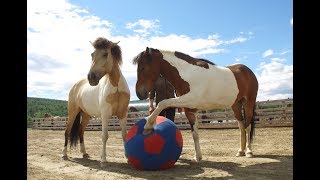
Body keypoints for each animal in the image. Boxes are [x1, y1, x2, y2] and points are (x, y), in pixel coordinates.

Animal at [62, 37, 130, 167]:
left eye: (105, 54)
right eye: (92, 54)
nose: (91, 78)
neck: (116, 88)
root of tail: (76, 86)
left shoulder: (123, 114)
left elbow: (124, 135)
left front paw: (128, 158)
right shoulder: (105, 115)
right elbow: (104, 136)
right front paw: (103, 160)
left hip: (86, 115)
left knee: (80, 131)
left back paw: (84, 153)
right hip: (72, 112)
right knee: (67, 131)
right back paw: (64, 154)